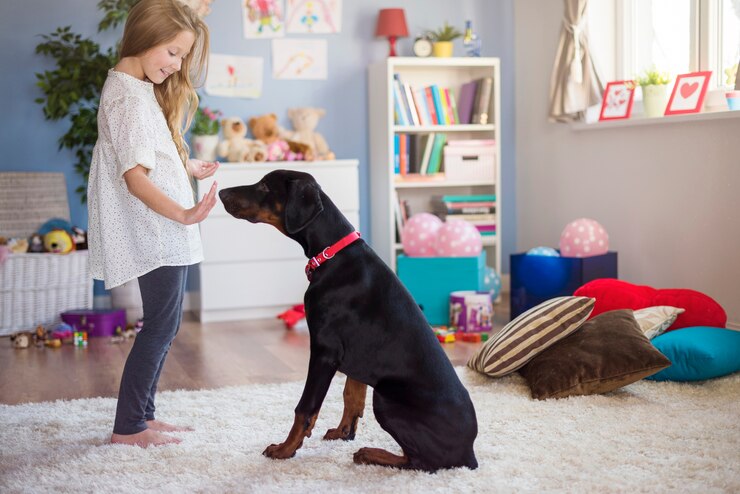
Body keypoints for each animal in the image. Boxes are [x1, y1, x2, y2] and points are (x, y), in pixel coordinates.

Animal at [218, 171, 480, 474]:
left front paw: (286, 449)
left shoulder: (324, 350)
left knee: (421, 462)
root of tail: (469, 453)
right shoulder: (357, 353)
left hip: (386, 398)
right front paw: (344, 432)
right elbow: (351, 395)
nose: (221, 193)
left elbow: (305, 407)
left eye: (264, 186)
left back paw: (371, 454)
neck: (332, 254)